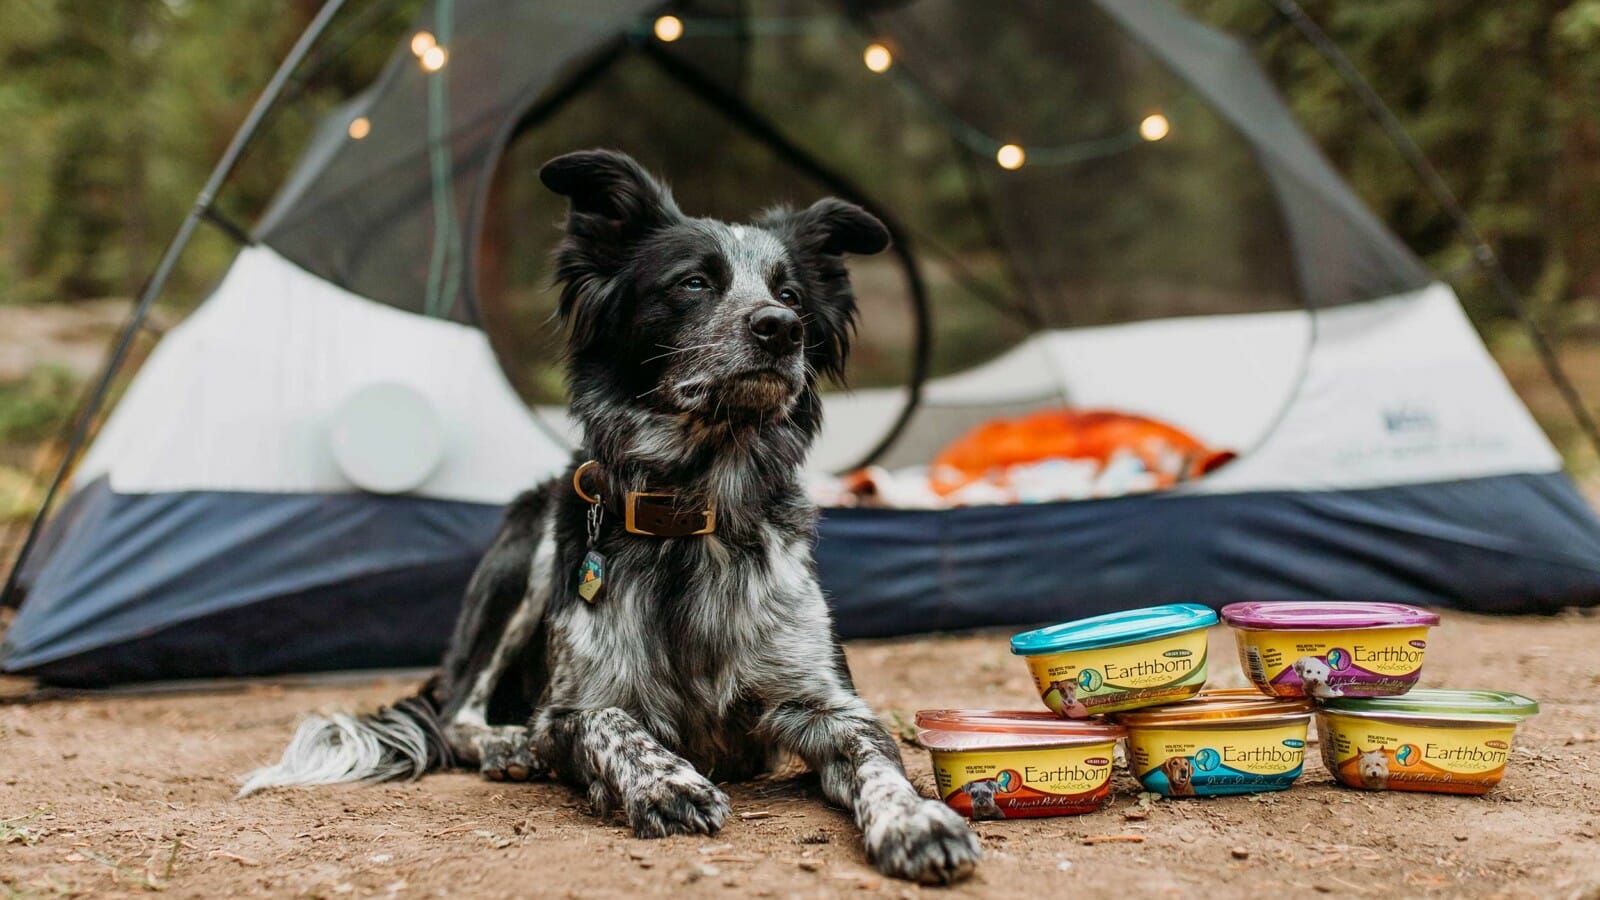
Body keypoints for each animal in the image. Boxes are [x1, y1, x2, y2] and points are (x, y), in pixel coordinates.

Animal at [238, 148, 979, 883]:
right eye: (693, 284)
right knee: (457, 711)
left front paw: (917, 821)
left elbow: (878, 758)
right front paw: (665, 782)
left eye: (791, 295)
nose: (781, 329)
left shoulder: (828, 702)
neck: (693, 514)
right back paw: (507, 746)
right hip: (531, 553)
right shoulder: (572, 706)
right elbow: (611, 725)